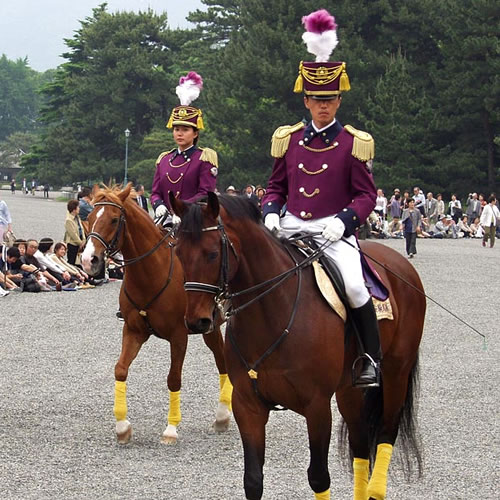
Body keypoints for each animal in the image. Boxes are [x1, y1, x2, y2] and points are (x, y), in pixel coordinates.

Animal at [80, 186, 232, 444]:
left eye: (113, 219)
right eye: (89, 218)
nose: (88, 261)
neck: (151, 273)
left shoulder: (179, 336)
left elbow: (173, 378)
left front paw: (171, 429)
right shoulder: (133, 330)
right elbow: (120, 369)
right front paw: (122, 426)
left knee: (225, 361)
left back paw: (223, 414)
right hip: (209, 328)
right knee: (222, 359)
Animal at [170, 191, 424, 500]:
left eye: (212, 253)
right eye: (178, 252)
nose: (196, 321)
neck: (272, 311)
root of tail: (401, 265)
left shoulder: (316, 406)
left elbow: (318, 477)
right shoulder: (248, 405)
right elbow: (253, 480)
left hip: (396, 373)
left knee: (387, 432)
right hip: (348, 389)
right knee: (361, 445)